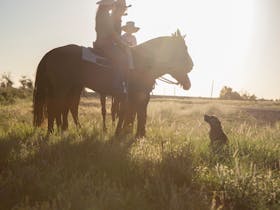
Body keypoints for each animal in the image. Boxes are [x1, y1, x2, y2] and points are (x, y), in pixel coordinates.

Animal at [33, 29, 192, 135]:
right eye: (183, 48)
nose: (191, 65)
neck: (140, 61)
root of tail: (51, 52)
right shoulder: (137, 95)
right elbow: (134, 113)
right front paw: (133, 134)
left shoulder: (135, 96)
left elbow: (133, 113)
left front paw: (131, 133)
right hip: (62, 87)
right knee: (55, 107)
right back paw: (54, 132)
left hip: (73, 87)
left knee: (68, 107)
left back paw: (67, 129)